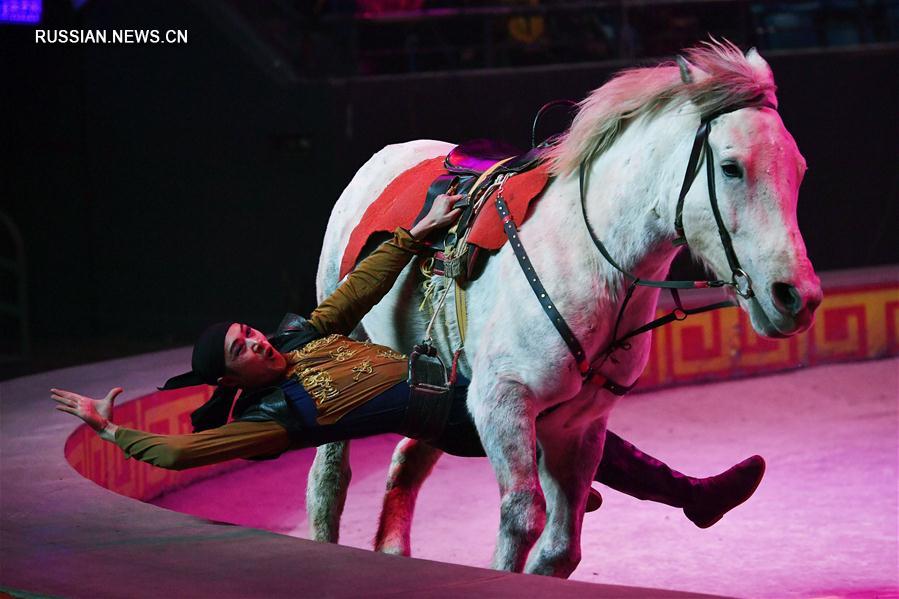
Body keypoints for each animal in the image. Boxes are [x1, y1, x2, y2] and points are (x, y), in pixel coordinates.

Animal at [304, 42, 824, 576]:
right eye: (730, 167)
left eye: (799, 170)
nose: (796, 296)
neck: (590, 259)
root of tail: (387, 155)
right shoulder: (501, 402)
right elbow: (522, 516)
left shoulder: (579, 424)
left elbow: (560, 547)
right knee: (329, 475)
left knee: (407, 459)